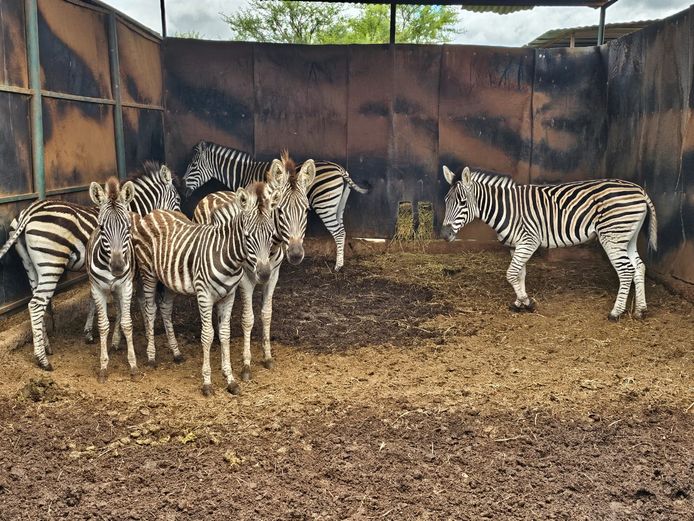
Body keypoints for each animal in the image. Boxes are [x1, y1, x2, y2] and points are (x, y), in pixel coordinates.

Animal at [0, 162, 180, 370]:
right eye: (178, 198)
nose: (180, 216)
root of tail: (29, 211)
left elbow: (93, 299)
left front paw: (89, 332)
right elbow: (131, 300)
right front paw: (132, 334)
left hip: (30, 264)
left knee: (37, 303)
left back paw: (45, 345)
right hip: (51, 263)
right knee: (37, 304)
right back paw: (42, 360)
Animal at [132, 182, 280, 396]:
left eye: (270, 235)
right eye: (247, 236)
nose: (265, 274)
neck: (227, 255)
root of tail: (154, 212)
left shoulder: (229, 295)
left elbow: (225, 333)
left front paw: (230, 380)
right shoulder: (204, 295)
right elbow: (208, 335)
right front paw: (207, 383)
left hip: (169, 279)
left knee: (165, 308)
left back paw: (176, 353)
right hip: (148, 273)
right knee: (150, 309)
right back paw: (151, 357)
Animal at [182, 140, 370, 271]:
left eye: (193, 166)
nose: (182, 187)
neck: (244, 173)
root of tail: (340, 169)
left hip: (325, 204)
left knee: (338, 232)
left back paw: (338, 266)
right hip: (338, 206)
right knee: (342, 231)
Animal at [193, 151, 315, 381]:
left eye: (305, 210)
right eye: (281, 211)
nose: (295, 254)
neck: (270, 247)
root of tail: (214, 193)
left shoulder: (274, 275)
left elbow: (266, 314)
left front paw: (267, 357)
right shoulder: (244, 279)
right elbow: (248, 318)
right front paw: (246, 364)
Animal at [441, 166, 658, 320]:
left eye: (462, 203)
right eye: (445, 201)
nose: (444, 234)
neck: (506, 208)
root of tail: (639, 190)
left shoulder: (528, 241)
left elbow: (511, 274)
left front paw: (527, 302)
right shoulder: (516, 245)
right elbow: (519, 274)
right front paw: (519, 303)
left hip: (612, 235)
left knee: (626, 270)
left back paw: (616, 312)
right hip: (627, 237)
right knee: (639, 267)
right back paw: (641, 310)